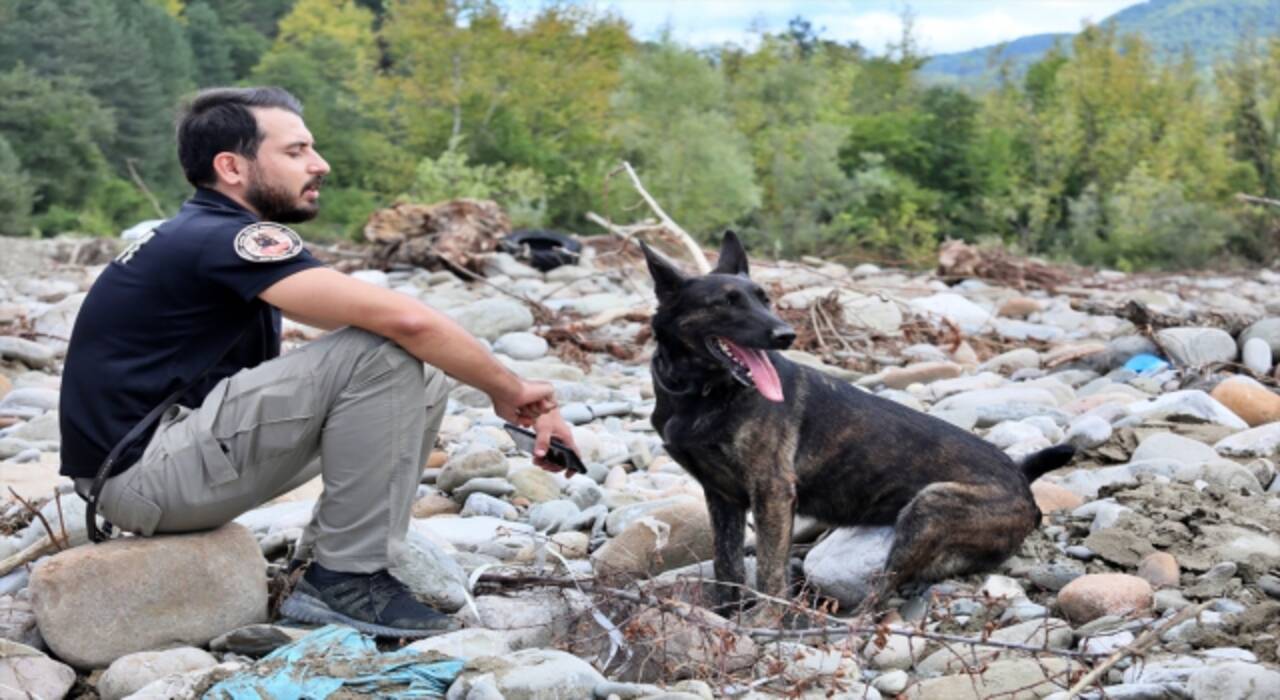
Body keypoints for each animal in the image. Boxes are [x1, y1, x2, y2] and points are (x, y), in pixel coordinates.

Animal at [640, 232, 1070, 611]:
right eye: (725, 303)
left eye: (765, 299)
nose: (787, 335)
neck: (698, 394)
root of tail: (1022, 481)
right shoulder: (723, 497)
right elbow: (726, 567)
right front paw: (726, 616)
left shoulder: (772, 492)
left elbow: (770, 573)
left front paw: (764, 621)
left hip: (928, 508)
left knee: (881, 594)